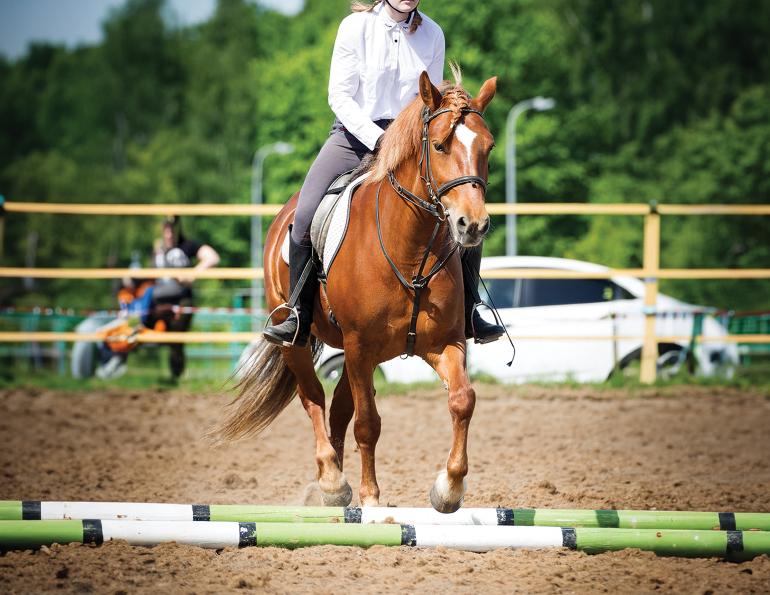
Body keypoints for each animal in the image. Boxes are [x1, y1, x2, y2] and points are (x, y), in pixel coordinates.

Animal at [217, 68, 497, 513]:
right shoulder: (360, 346)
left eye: (488, 146)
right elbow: (368, 423)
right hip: (306, 343)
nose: (473, 225)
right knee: (313, 397)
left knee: (337, 409)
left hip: (356, 355)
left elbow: (462, 400)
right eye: (439, 145)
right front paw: (370, 498)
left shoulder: (445, 343)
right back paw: (332, 481)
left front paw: (448, 489)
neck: (409, 250)